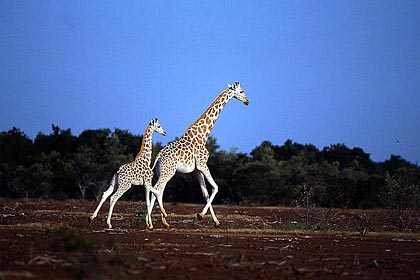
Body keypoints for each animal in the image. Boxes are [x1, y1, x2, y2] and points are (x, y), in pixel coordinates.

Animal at [147, 81, 248, 230]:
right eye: (241, 91)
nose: (247, 101)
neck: (203, 135)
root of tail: (158, 156)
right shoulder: (202, 164)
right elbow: (216, 187)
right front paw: (200, 215)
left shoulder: (197, 170)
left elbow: (205, 193)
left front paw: (216, 221)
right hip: (168, 172)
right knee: (158, 190)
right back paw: (155, 221)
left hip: (162, 172)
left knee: (157, 190)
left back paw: (157, 222)